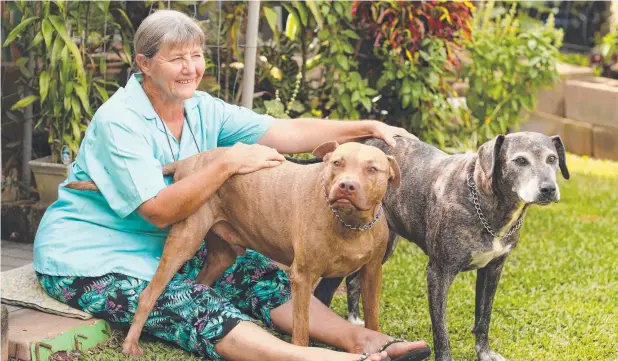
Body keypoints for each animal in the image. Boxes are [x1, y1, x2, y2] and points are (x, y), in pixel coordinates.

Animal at [312, 131, 568, 360]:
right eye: (521, 160)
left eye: (552, 159)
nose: (548, 189)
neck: (485, 201)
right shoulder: (439, 273)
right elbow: (441, 329)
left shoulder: (493, 269)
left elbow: (484, 318)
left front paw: (484, 353)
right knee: (324, 291)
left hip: (383, 246)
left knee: (354, 280)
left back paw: (356, 320)